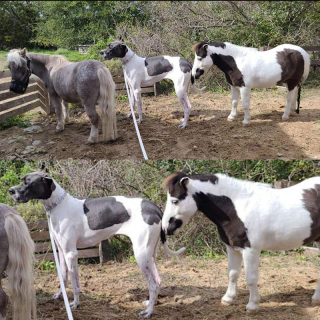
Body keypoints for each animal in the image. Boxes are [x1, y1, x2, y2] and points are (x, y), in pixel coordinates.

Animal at [9, 172, 185, 318]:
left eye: (27, 182)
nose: (10, 190)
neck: (58, 204)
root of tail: (154, 207)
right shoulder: (61, 252)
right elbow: (64, 277)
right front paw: (60, 296)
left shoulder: (71, 254)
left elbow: (75, 283)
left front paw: (75, 304)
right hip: (150, 254)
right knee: (157, 280)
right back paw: (150, 303)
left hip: (141, 254)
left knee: (153, 283)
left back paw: (148, 312)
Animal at [162, 174, 320, 312]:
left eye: (175, 200)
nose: (165, 228)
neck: (239, 208)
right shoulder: (232, 248)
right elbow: (233, 273)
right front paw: (228, 299)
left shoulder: (250, 250)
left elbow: (251, 278)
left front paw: (252, 305)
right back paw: (316, 299)